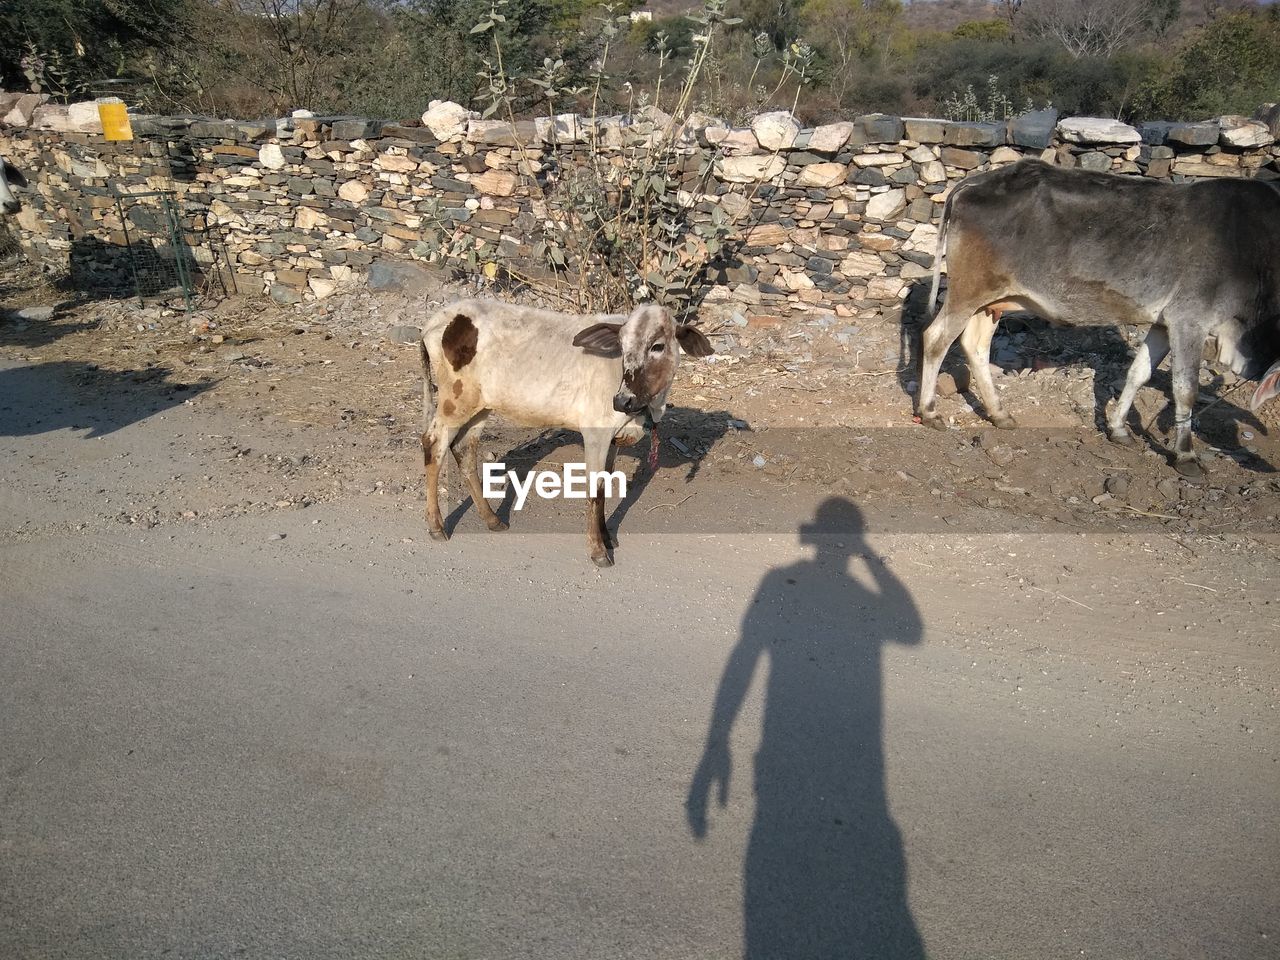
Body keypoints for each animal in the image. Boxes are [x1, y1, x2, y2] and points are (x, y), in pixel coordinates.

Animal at [921, 160, 1280, 478]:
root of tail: (971, 183)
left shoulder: (1164, 323)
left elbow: (1138, 373)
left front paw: (1119, 429)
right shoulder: (1189, 320)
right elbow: (1185, 389)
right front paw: (1186, 455)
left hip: (990, 302)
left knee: (975, 346)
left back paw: (999, 414)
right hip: (968, 293)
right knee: (936, 339)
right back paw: (929, 411)